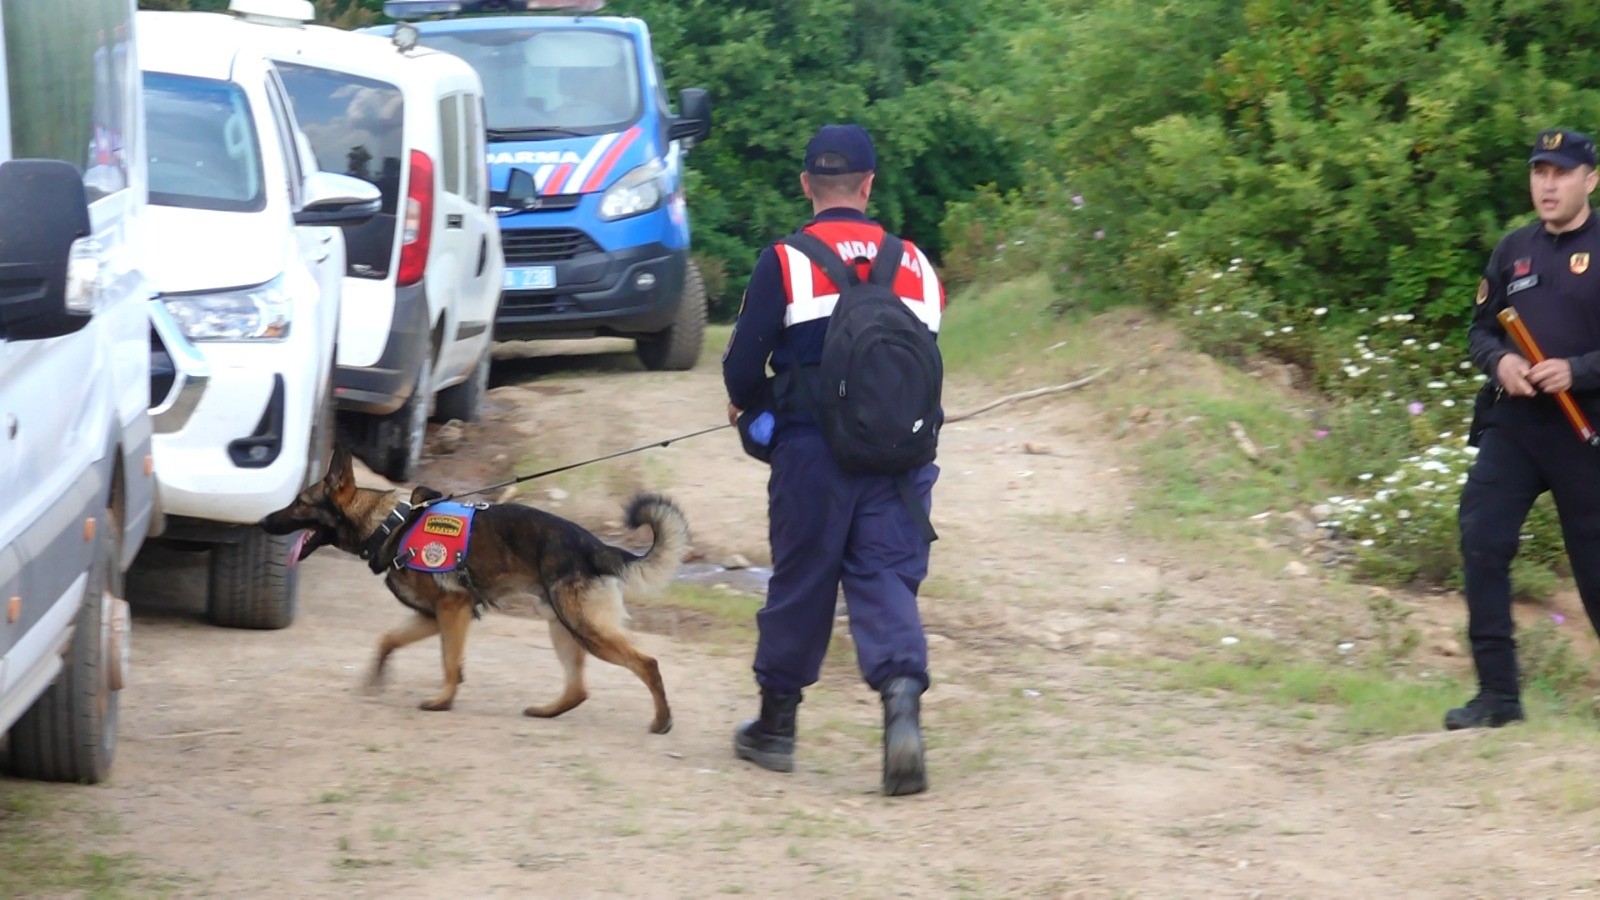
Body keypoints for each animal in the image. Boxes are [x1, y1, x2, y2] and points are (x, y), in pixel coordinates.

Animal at [256, 445, 688, 733]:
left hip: (585, 628)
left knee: (647, 663)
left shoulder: (453, 610)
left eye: (300, 502)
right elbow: (388, 640)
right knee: (579, 689)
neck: (389, 523)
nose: (262, 522)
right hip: (562, 626)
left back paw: (662, 719)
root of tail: (600, 547)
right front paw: (377, 678)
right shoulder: (432, 617)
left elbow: (449, 662)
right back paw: (546, 712)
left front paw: (443, 701)